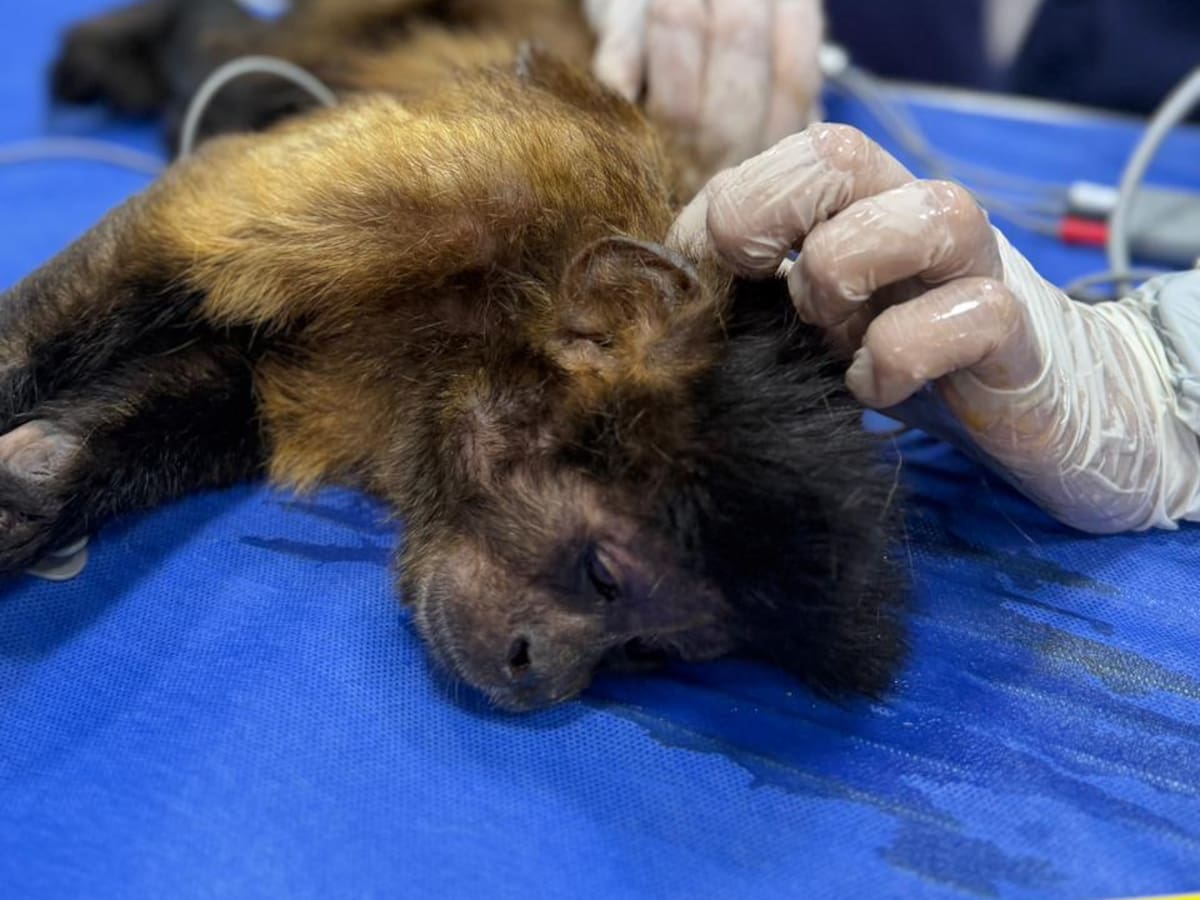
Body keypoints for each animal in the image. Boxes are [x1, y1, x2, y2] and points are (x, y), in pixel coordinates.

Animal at [13, 5, 910, 711]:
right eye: (604, 578)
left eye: (643, 650)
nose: (544, 673)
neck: (490, 321)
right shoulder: (486, 181)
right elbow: (184, 234)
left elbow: (229, 386)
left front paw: (47, 479)